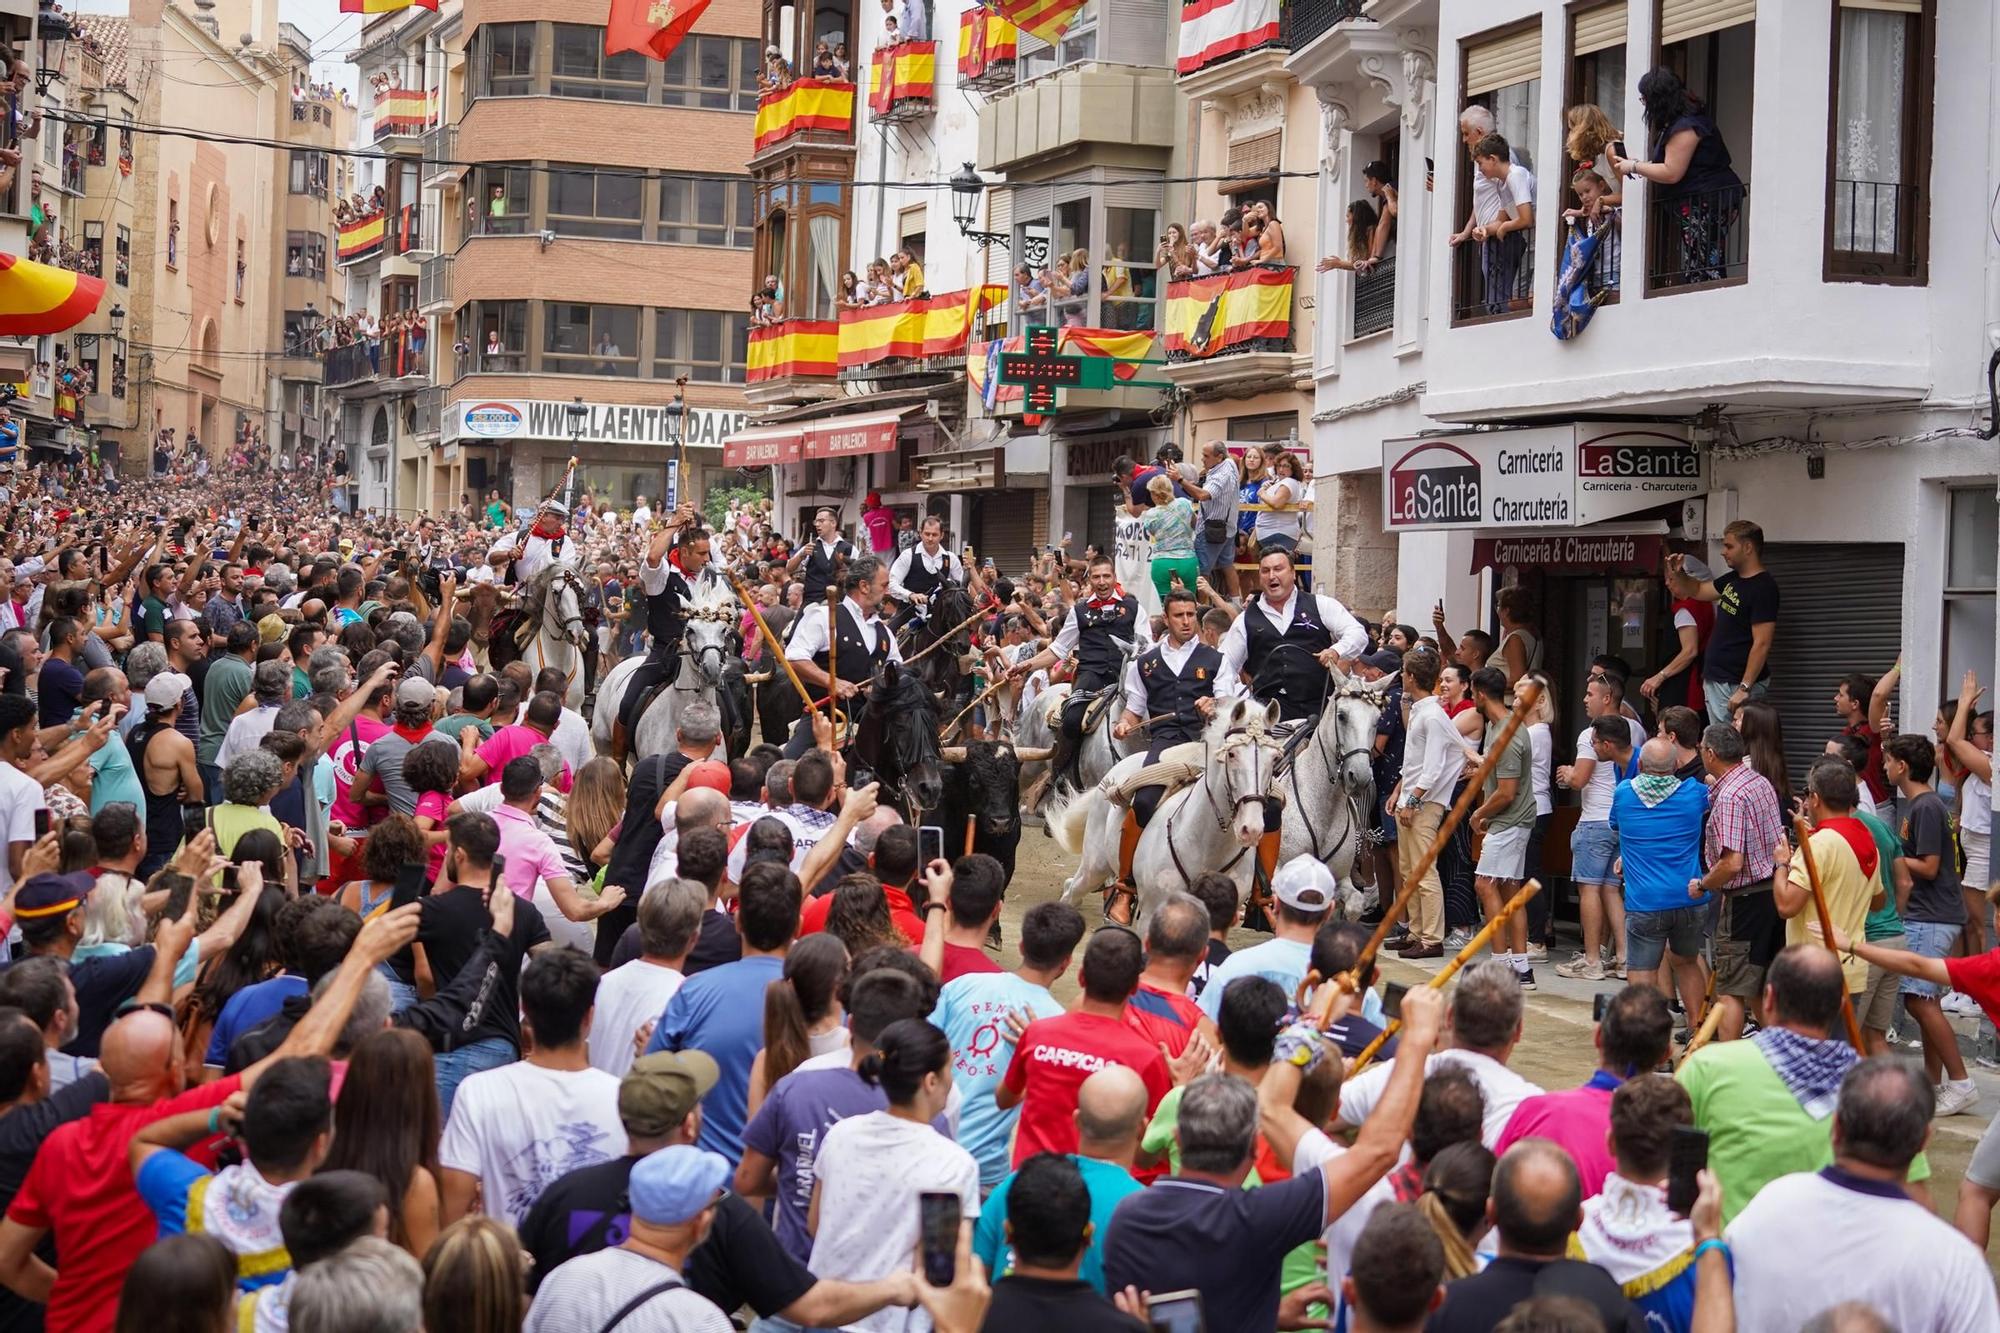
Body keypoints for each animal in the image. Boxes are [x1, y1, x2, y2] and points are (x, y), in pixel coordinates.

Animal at [1048, 696, 1280, 924]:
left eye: (1274, 758)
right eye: (1231, 754)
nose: (1251, 829)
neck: (1208, 845)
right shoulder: (1150, 911)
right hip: (1094, 866)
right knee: (1072, 891)